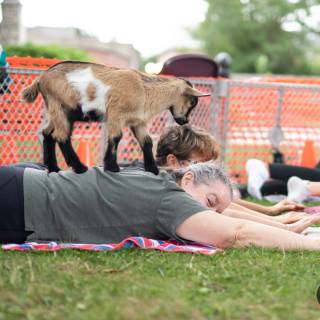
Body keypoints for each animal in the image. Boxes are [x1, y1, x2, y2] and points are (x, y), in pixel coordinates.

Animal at [21, 61, 208, 174]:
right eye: (192, 102)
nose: (184, 121)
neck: (145, 89)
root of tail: (40, 79)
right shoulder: (115, 114)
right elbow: (116, 137)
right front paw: (112, 167)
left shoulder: (138, 121)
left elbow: (147, 141)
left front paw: (153, 169)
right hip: (61, 108)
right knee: (61, 136)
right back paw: (79, 167)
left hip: (56, 110)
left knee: (47, 133)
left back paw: (53, 167)